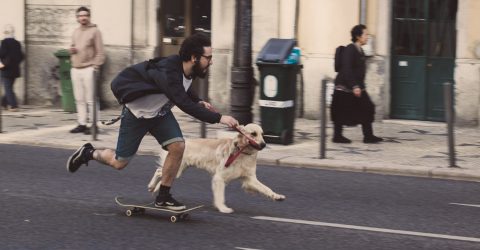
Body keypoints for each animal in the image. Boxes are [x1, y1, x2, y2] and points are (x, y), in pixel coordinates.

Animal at [148, 123, 286, 213]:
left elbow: (266, 188)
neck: (242, 153)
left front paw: (276, 196)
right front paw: (223, 208)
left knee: (162, 174)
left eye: (263, 134)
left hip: (178, 169)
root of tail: (184, 140)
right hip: (178, 168)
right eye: (253, 134)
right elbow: (220, 196)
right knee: (159, 171)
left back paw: (155, 189)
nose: (264, 144)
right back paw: (151, 186)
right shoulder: (219, 178)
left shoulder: (250, 179)